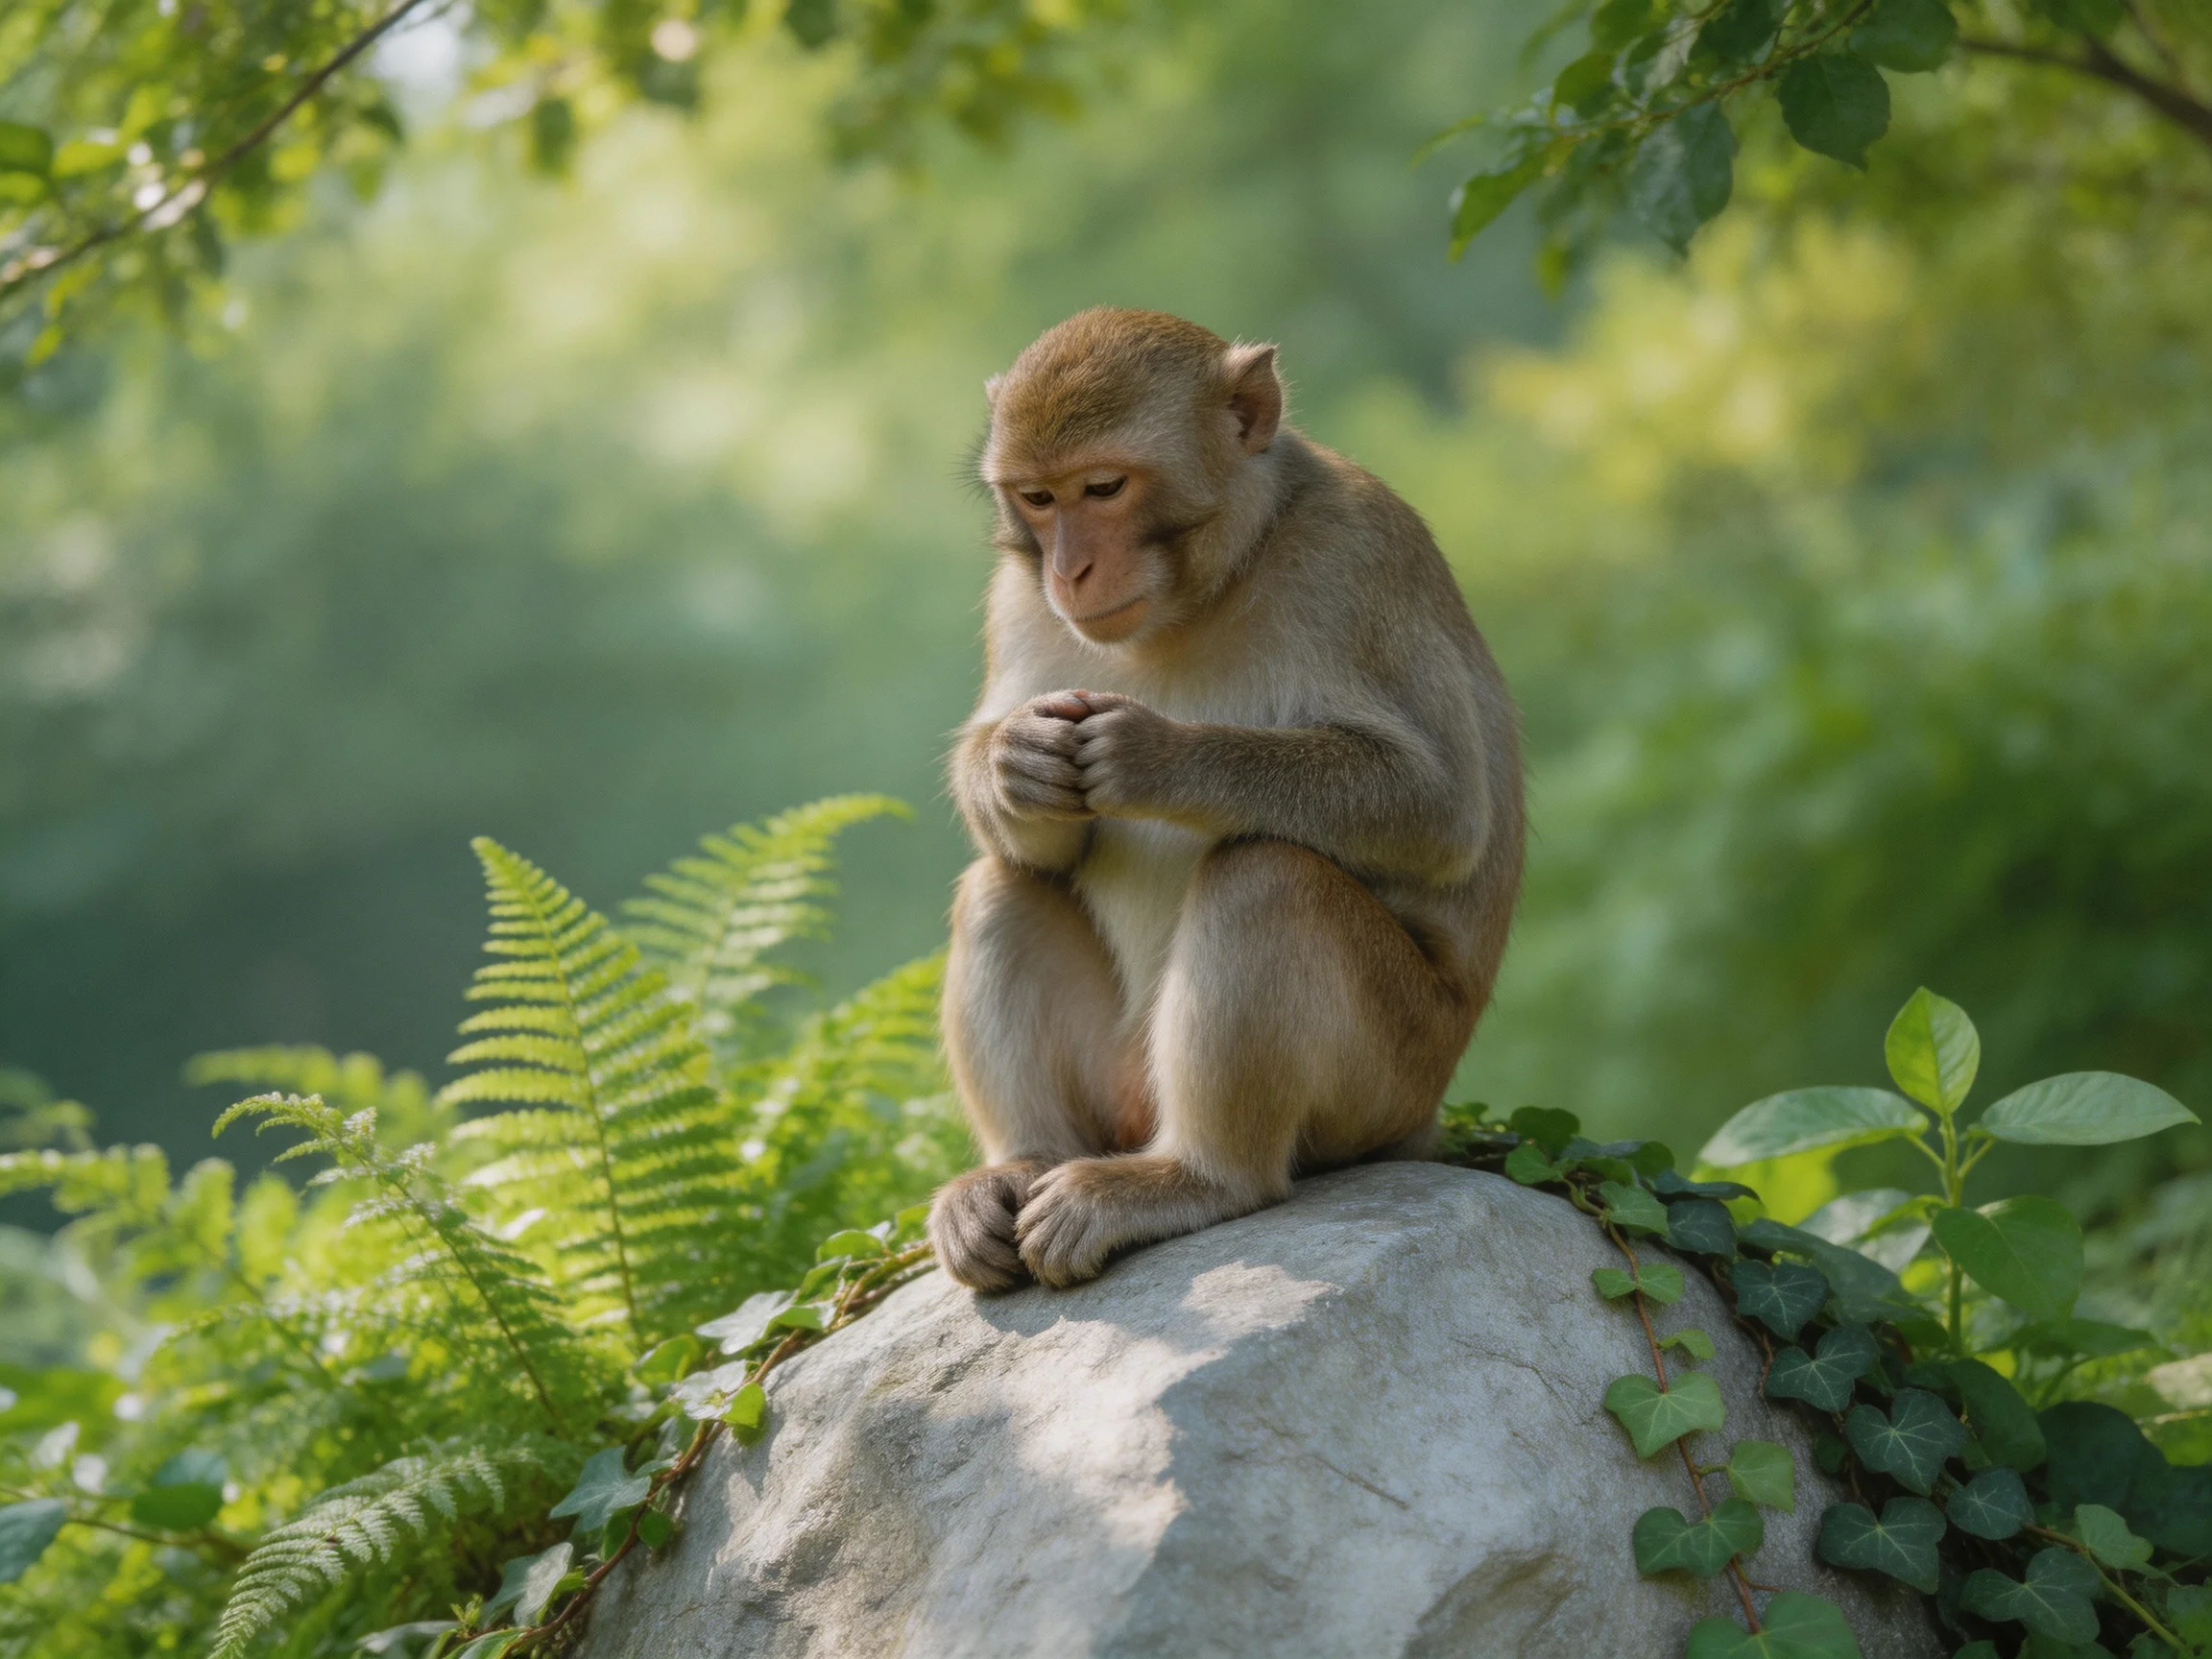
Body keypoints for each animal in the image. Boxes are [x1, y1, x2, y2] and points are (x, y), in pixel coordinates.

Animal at [927, 307, 1524, 1293]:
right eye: (1039, 500)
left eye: (1104, 487)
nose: (1069, 571)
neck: (1215, 578)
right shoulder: (1014, 595)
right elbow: (1033, 836)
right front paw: (1016, 762)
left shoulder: (1357, 554)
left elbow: (1439, 810)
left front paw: (1155, 755)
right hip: (1119, 1084)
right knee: (1001, 886)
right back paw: (1016, 1169)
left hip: (1391, 1076)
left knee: (1267, 877)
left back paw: (1199, 1178)